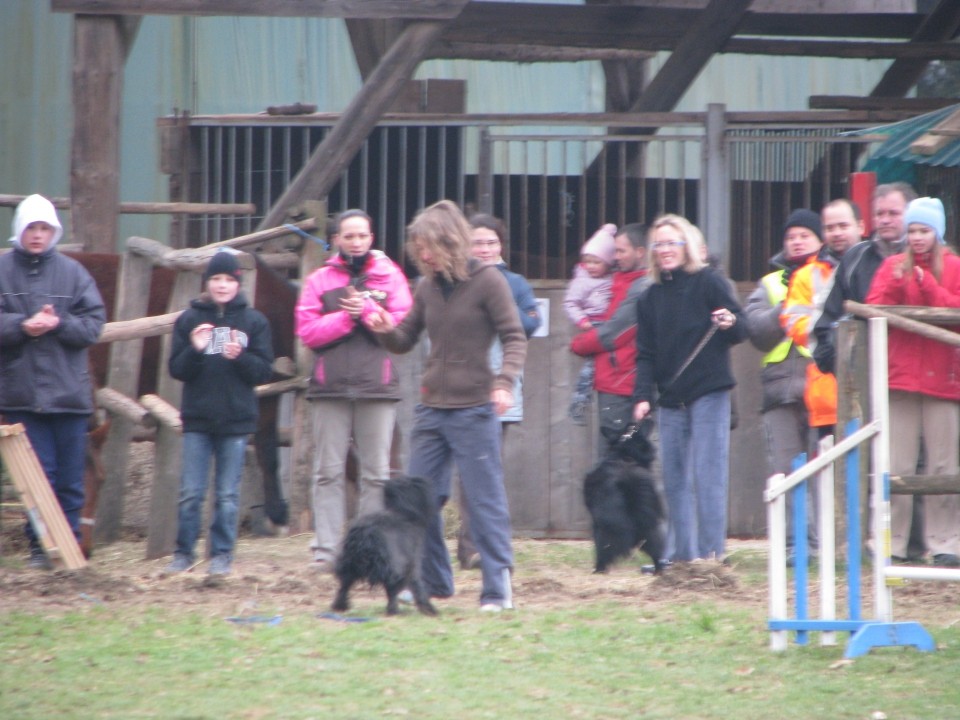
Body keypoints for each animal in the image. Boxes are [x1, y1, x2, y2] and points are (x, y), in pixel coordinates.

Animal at [330, 476, 436, 616]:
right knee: (392, 589)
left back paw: (340, 606)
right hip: (393, 566)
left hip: (348, 563)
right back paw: (394, 610)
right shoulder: (412, 562)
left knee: (344, 586)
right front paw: (428, 608)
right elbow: (417, 584)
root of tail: (365, 533)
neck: (403, 512)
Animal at [580, 428, 664, 572]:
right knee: (654, 545)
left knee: (606, 545)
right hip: (648, 524)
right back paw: (659, 569)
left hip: (606, 526)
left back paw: (599, 569)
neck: (624, 457)